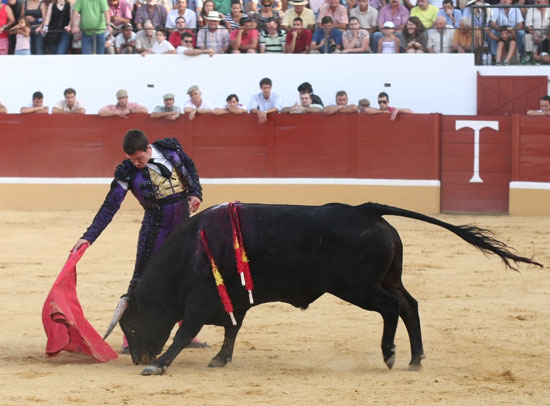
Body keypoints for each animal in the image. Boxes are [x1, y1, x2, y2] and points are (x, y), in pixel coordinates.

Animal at [106, 201, 544, 376]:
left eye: (131, 325)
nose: (136, 356)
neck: (190, 252)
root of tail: (367, 210)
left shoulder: (199, 302)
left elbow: (184, 333)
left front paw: (158, 364)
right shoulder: (237, 303)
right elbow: (232, 330)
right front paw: (220, 359)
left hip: (358, 287)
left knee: (392, 308)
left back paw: (390, 354)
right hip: (386, 279)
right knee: (410, 305)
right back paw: (415, 358)